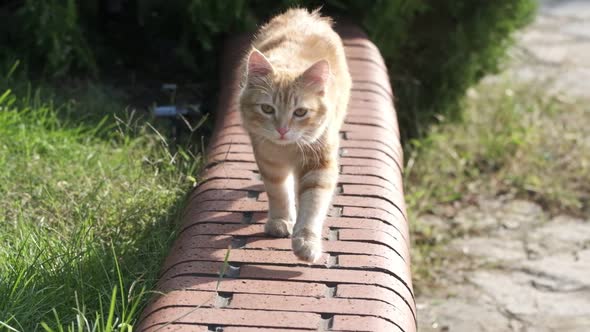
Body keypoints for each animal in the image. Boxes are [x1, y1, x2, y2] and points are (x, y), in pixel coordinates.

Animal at [239, 8, 352, 262]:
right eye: (267, 109)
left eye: (300, 112)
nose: (282, 129)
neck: (288, 150)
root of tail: (306, 13)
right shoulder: (269, 162)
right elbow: (279, 192)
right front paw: (281, 220)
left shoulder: (319, 165)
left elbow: (312, 205)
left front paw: (306, 242)